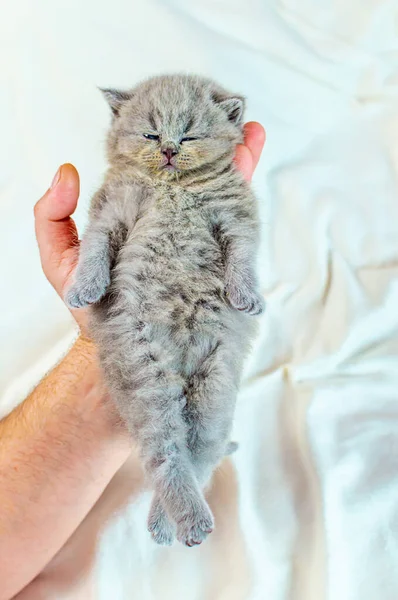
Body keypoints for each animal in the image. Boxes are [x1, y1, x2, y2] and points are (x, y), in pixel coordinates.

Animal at [65, 72, 264, 548]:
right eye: (151, 134)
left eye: (190, 134)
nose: (170, 150)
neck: (173, 187)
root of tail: (181, 368)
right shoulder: (113, 210)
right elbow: (95, 246)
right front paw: (86, 288)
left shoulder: (236, 216)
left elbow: (243, 255)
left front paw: (246, 296)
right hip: (144, 373)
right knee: (167, 454)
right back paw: (183, 522)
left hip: (216, 387)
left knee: (201, 456)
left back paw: (172, 522)